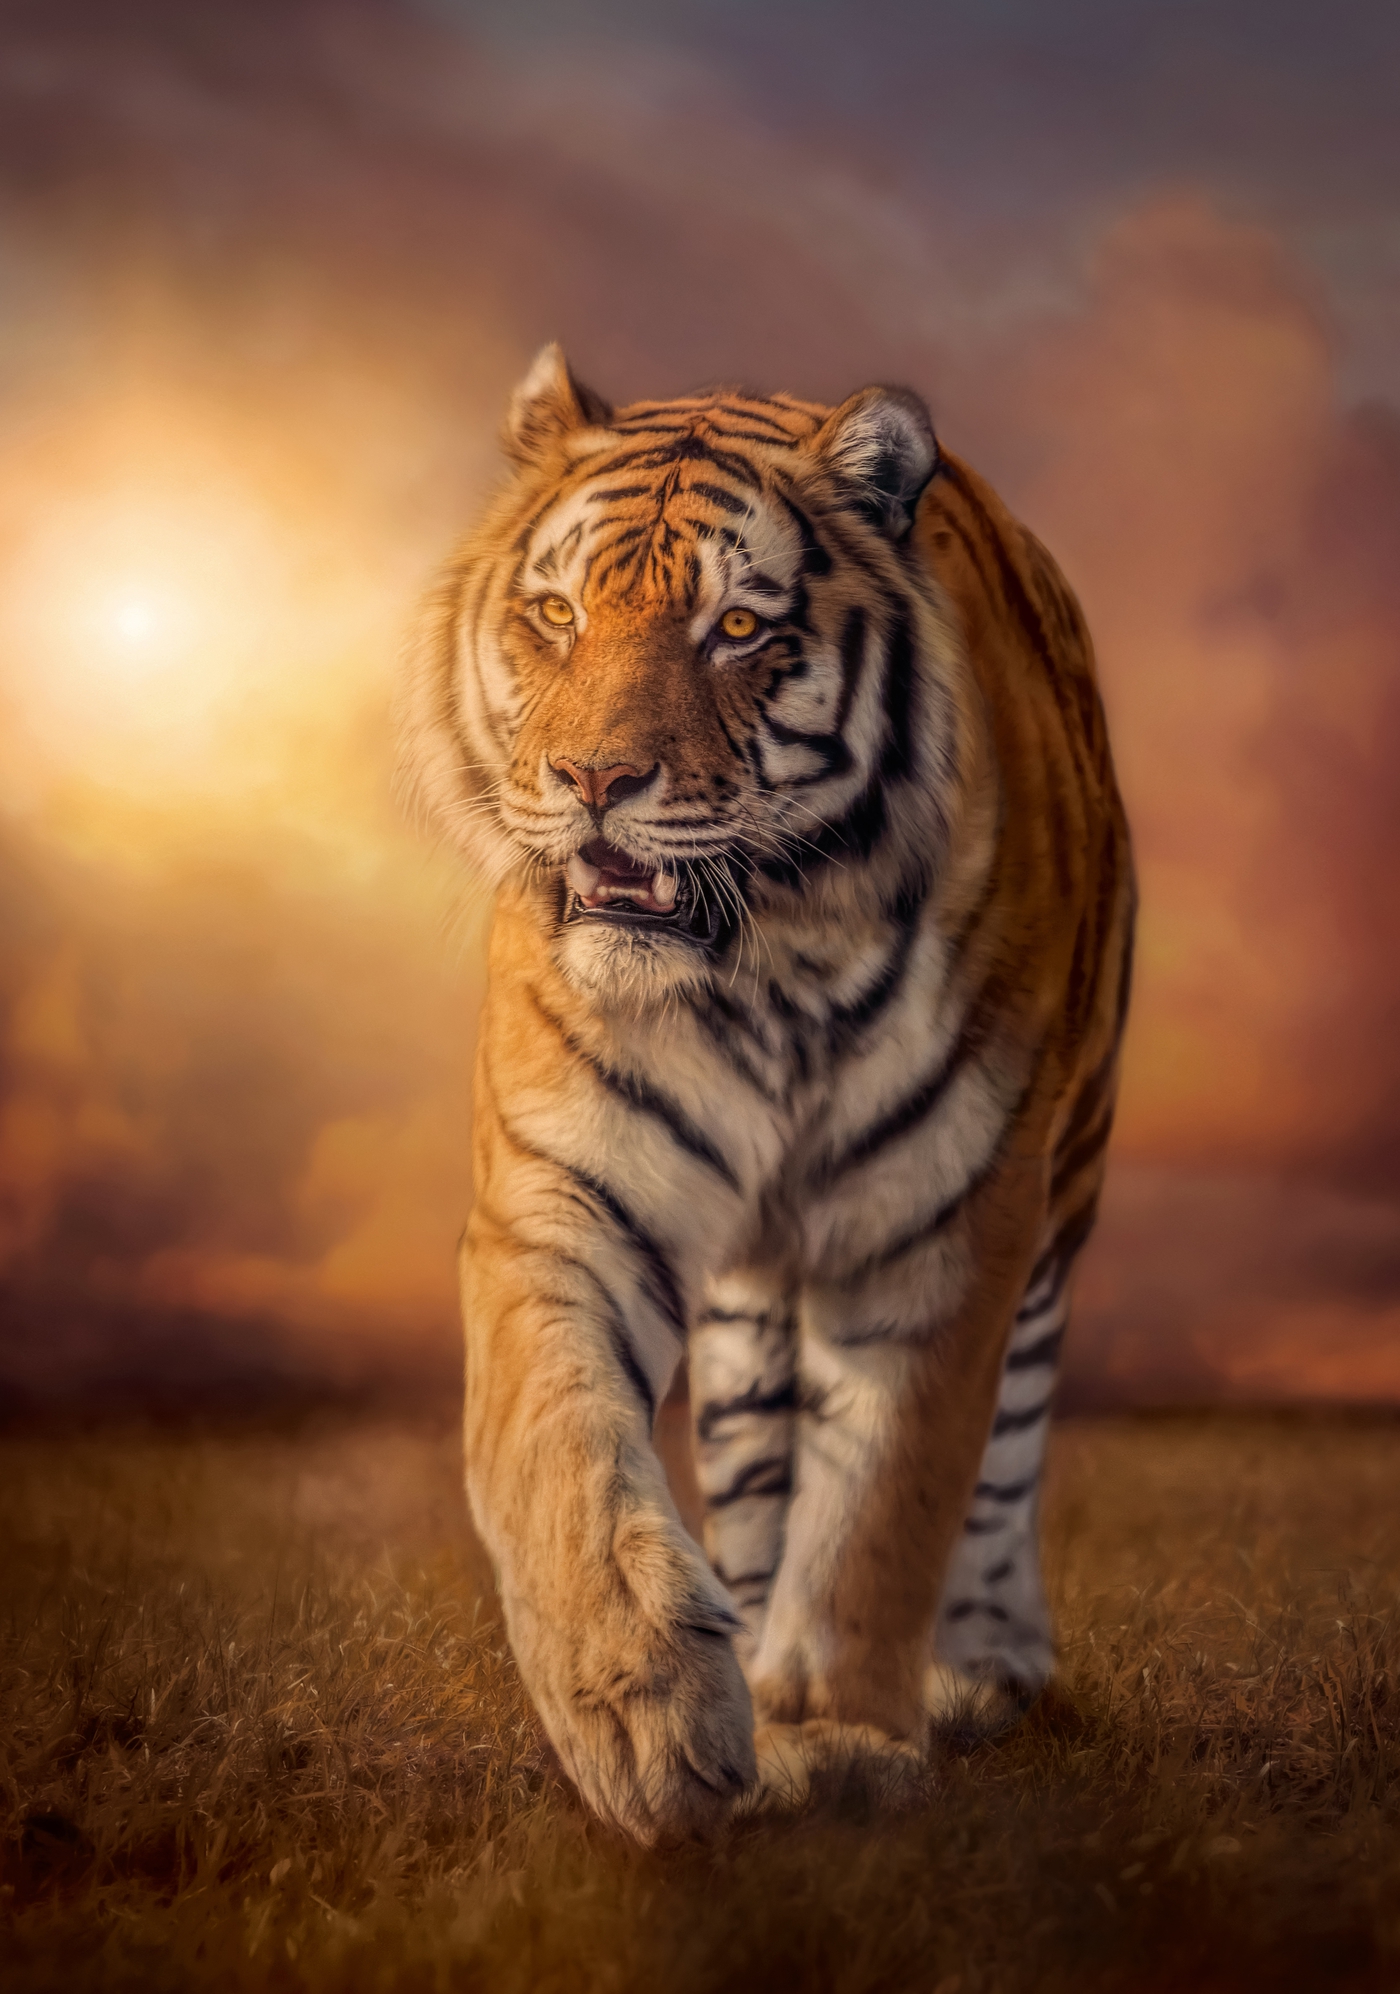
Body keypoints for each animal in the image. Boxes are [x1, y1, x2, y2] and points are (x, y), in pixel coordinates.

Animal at [398, 343, 1135, 1843]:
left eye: (736, 626)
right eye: (557, 612)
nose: (594, 780)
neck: (767, 964)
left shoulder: (943, 1224)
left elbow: (888, 1501)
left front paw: (839, 1733)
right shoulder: (561, 1198)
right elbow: (559, 1445)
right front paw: (643, 1710)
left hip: (1064, 1182)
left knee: (1008, 1447)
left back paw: (982, 1663)